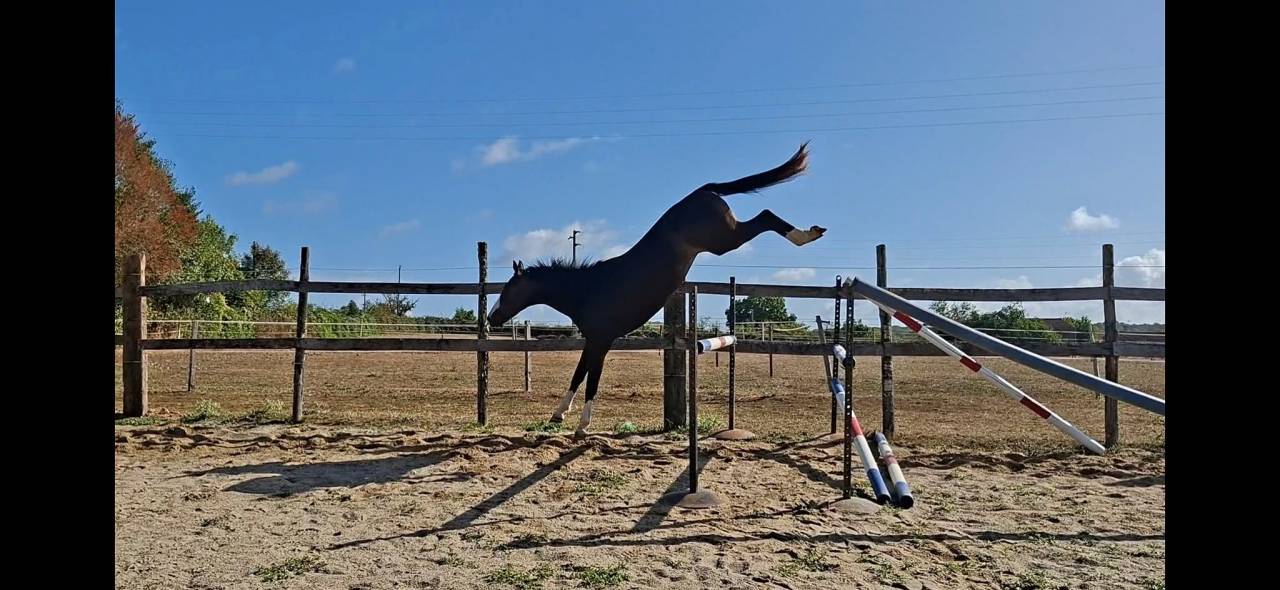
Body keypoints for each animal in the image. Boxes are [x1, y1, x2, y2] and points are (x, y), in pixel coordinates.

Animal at [487, 143, 824, 435]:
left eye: (508, 290)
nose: (492, 318)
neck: (587, 289)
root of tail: (702, 190)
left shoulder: (601, 341)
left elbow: (591, 380)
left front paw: (582, 426)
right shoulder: (592, 341)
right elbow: (578, 375)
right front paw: (558, 415)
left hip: (724, 240)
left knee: (766, 216)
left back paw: (807, 234)